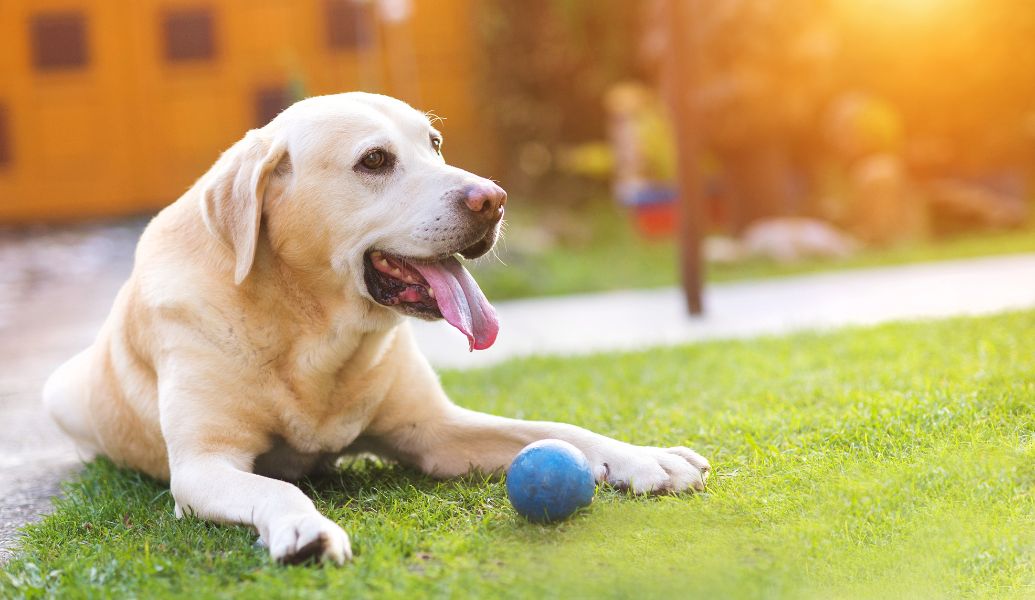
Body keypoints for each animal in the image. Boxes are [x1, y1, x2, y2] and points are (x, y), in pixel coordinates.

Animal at [42, 91, 703, 566]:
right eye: (375, 161)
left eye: (434, 144)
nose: (494, 199)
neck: (312, 332)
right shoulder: (204, 466)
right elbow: (276, 489)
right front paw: (305, 527)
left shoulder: (436, 432)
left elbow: (556, 428)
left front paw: (644, 458)